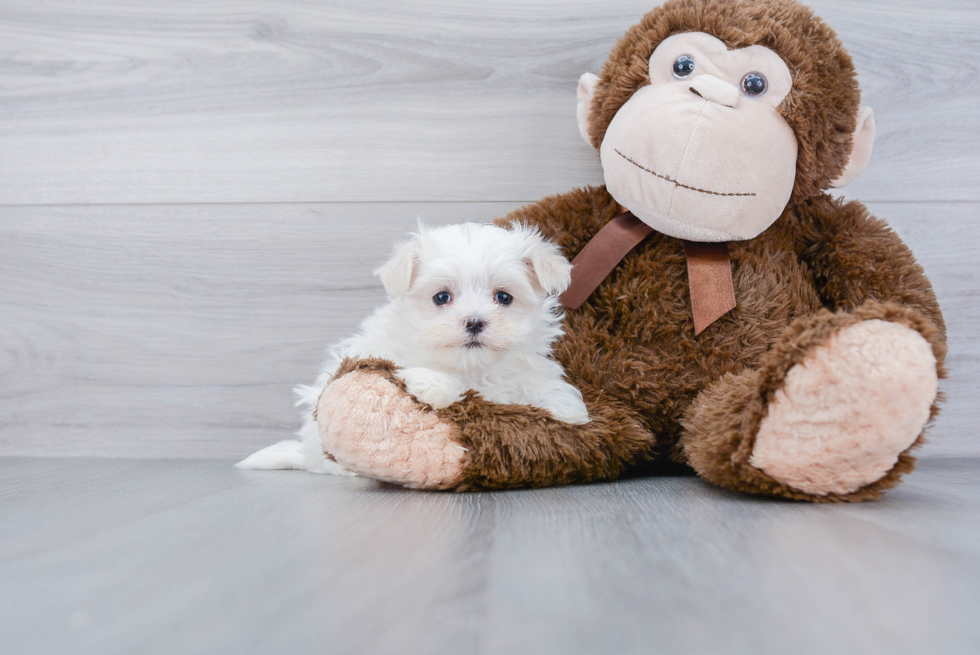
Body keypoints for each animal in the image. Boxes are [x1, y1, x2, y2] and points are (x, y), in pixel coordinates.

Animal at [237, 223, 588, 474]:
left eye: (504, 297)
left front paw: (567, 408)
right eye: (441, 297)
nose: (475, 322)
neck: (472, 367)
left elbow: (544, 386)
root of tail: (306, 453)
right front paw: (433, 385)